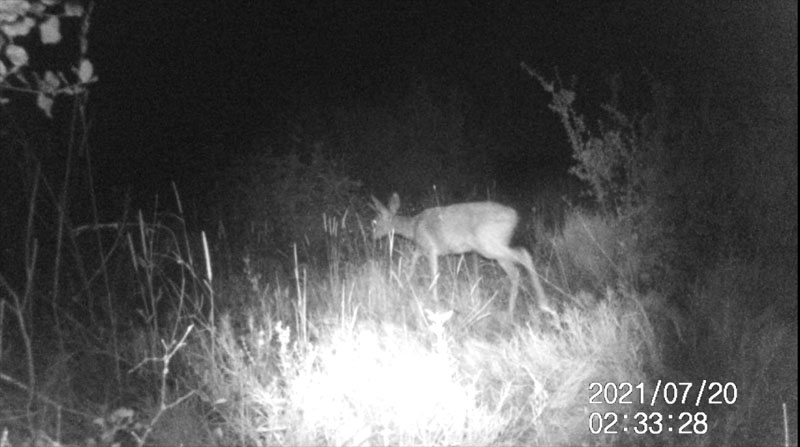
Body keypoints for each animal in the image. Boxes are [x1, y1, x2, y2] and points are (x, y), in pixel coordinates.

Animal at [374, 193, 552, 318]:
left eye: (375, 221)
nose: (372, 236)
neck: (413, 227)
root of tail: (514, 216)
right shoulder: (422, 249)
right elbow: (413, 261)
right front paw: (404, 284)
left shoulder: (431, 249)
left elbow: (433, 275)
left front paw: (435, 302)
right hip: (496, 248)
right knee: (515, 270)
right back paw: (511, 312)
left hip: (489, 245)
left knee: (523, 255)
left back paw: (543, 305)